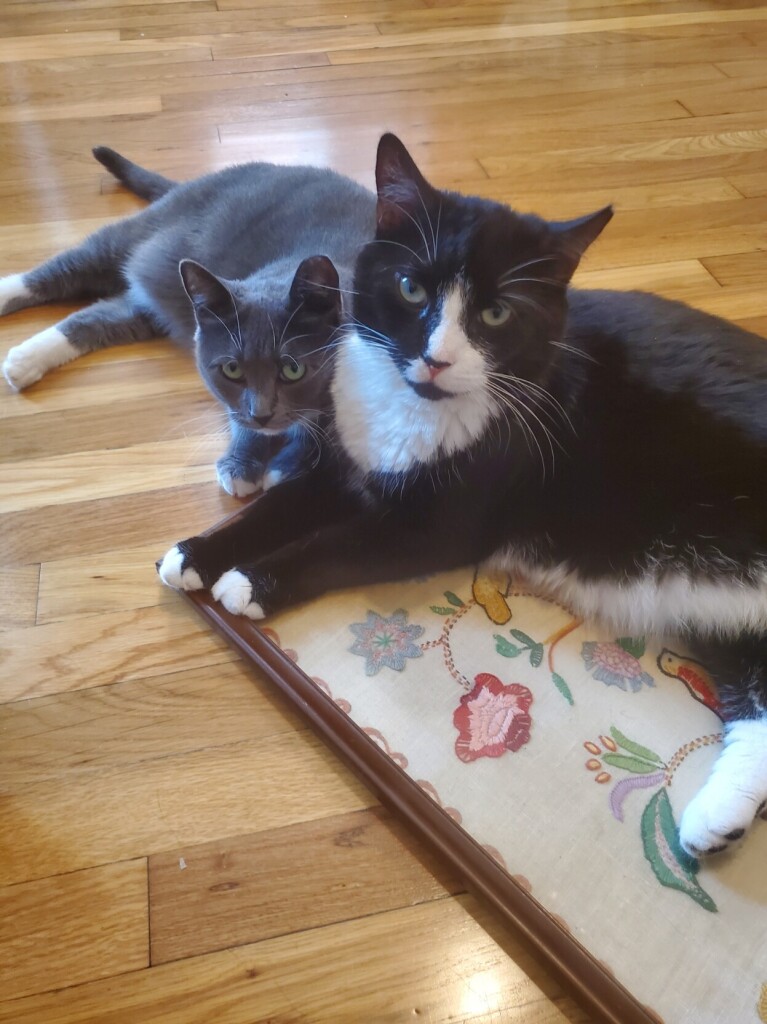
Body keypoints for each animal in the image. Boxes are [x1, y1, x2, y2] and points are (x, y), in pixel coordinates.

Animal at [1, 146, 374, 493]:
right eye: (232, 369)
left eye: (293, 369)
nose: (262, 414)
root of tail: (188, 183)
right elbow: (239, 414)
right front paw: (241, 465)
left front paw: (285, 466)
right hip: (136, 237)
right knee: (68, 268)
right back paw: (9, 306)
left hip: (150, 307)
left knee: (100, 316)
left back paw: (23, 362)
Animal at [159, 134, 765, 856]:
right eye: (410, 286)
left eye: (497, 312)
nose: (437, 358)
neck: (414, 408)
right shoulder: (344, 462)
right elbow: (280, 506)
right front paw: (197, 553)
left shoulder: (438, 526)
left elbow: (337, 544)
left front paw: (252, 581)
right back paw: (717, 820)